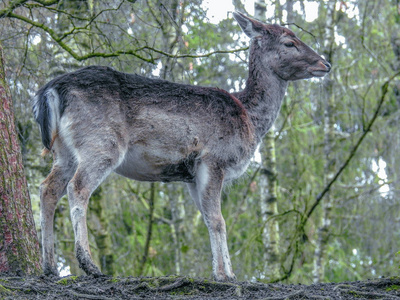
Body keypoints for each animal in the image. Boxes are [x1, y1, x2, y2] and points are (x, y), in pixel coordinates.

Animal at [32, 12, 330, 282]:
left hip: (64, 151)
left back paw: (50, 267)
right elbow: (218, 219)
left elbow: (209, 218)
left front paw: (226, 272)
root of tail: (51, 89)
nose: (325, 63)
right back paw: (90, 265)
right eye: (289, 42)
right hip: (102, 143)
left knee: (47, 188)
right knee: (77, 187)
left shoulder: (191, 175)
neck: (249, 120)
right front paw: (224, 275)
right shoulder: (213, 159)